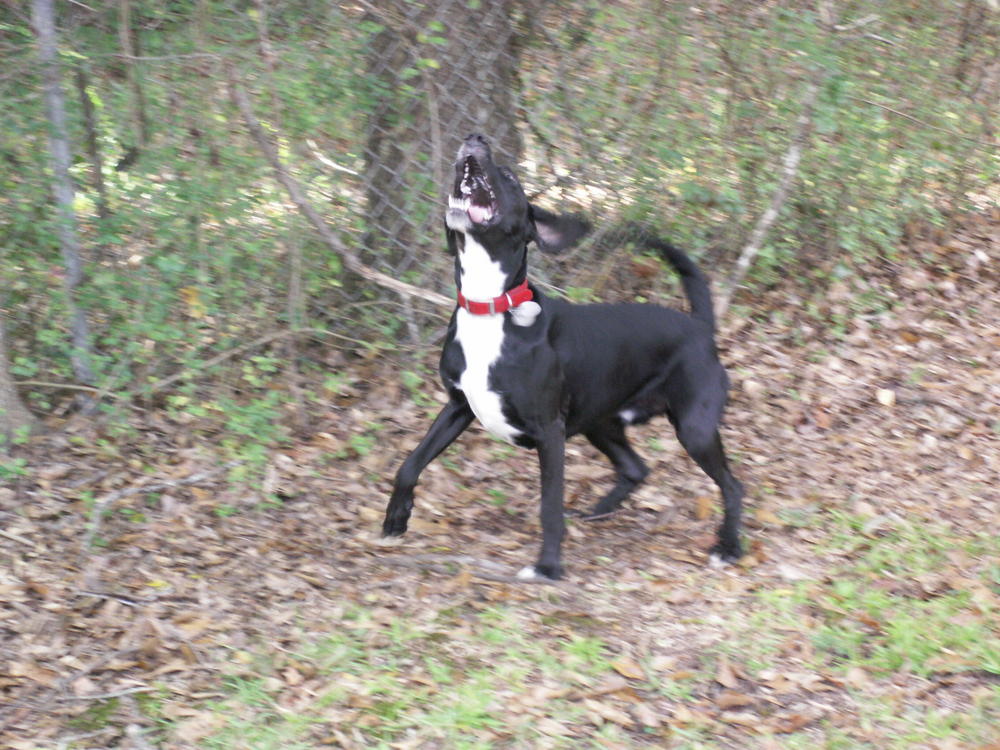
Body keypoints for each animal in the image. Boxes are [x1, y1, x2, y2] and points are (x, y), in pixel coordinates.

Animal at [382, 134, 744, 580]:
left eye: (509, 176)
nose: (474, 137)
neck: (491, 307)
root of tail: (701, 327)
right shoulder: (458, 407)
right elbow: (409, 463)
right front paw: (396, 519)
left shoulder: (548, 431)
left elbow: (549, 505)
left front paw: (548, 566)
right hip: (601, 422)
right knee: (636, 468)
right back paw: (597, 512)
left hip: (693, 428)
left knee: (732, 485)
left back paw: (728, 547)